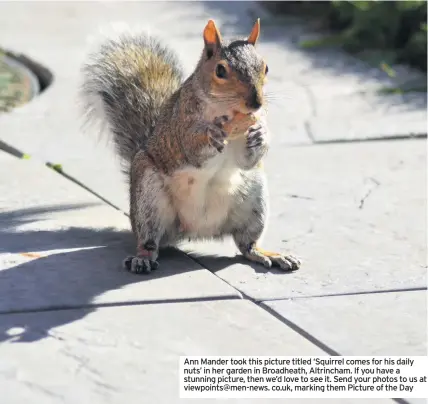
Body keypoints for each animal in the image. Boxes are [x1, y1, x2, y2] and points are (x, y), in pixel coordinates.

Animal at [79, 17, 300, 274]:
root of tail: (196, 230)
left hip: (254, 201)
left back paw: (269, 254)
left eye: (265, 67)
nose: (256, 102)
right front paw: (211, 134)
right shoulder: (179, 127)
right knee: (148, 239)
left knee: (247, 244)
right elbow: (191, 148)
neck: (226, 112)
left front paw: (261, 135)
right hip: (148, 197)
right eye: (220, 70)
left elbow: (246, 160)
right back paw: (142, 257)